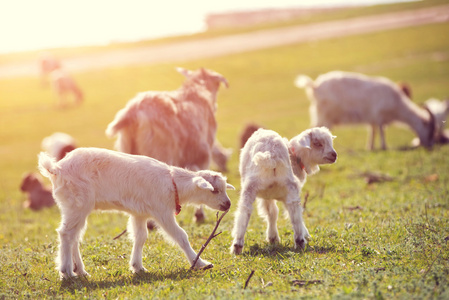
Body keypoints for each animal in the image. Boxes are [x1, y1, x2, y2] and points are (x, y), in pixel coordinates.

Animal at [38, 148, 234, 278]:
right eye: (214, 190)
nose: (228, 204)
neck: (173, 183)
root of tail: (56, 169)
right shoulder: (162, 211)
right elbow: (180, 236)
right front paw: (200, 263)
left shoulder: (140, 213)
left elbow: (140, 237)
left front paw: (137, 266)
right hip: (77, 203)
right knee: (66, 234)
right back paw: (66, 272)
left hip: (75, 206)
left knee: (74, 237)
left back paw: (80, 270)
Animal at [294, 70, 434, 150]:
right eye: (428, 129)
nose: (428, 145)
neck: (397, 104)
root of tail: (314, 86)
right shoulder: (379, 116)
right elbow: (381, 131)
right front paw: (384, 147)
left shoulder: (372, 119)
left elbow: (373, 131)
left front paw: (371, 147)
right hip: (324, 114)